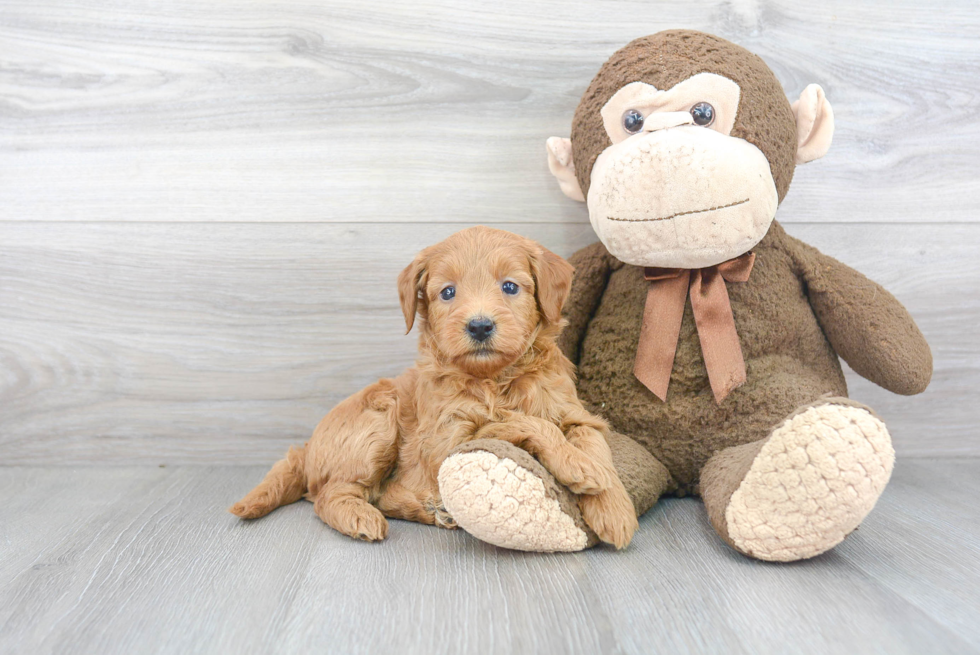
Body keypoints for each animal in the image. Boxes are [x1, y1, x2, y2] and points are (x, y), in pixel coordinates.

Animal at [230, 227, 636, 548]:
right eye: (447, 293)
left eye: (509, 286)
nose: (480, 325)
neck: (494, 379)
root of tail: (308, 446)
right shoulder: (446, 441)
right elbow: (522, 422)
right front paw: (578, 467)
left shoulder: (575, 413)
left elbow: (593, 445)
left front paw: (613, 506)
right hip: (377, 423)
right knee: (330, 495)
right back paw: (361, 518)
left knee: (380, 493)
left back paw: (435, 510)